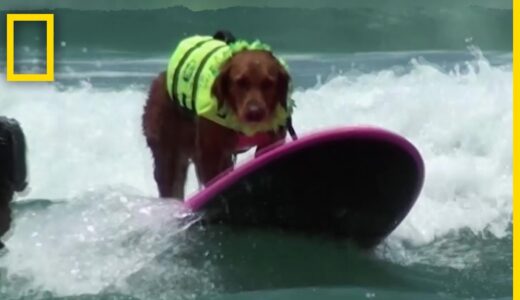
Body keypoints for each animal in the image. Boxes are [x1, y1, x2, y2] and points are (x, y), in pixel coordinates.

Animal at [142, 34, 296, 199]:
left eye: (268, 83)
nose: (254, 113)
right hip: (169, 152)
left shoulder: (273, 141)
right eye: (240, 82)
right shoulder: (211, 154)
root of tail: (160, 79)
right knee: (170, 180)